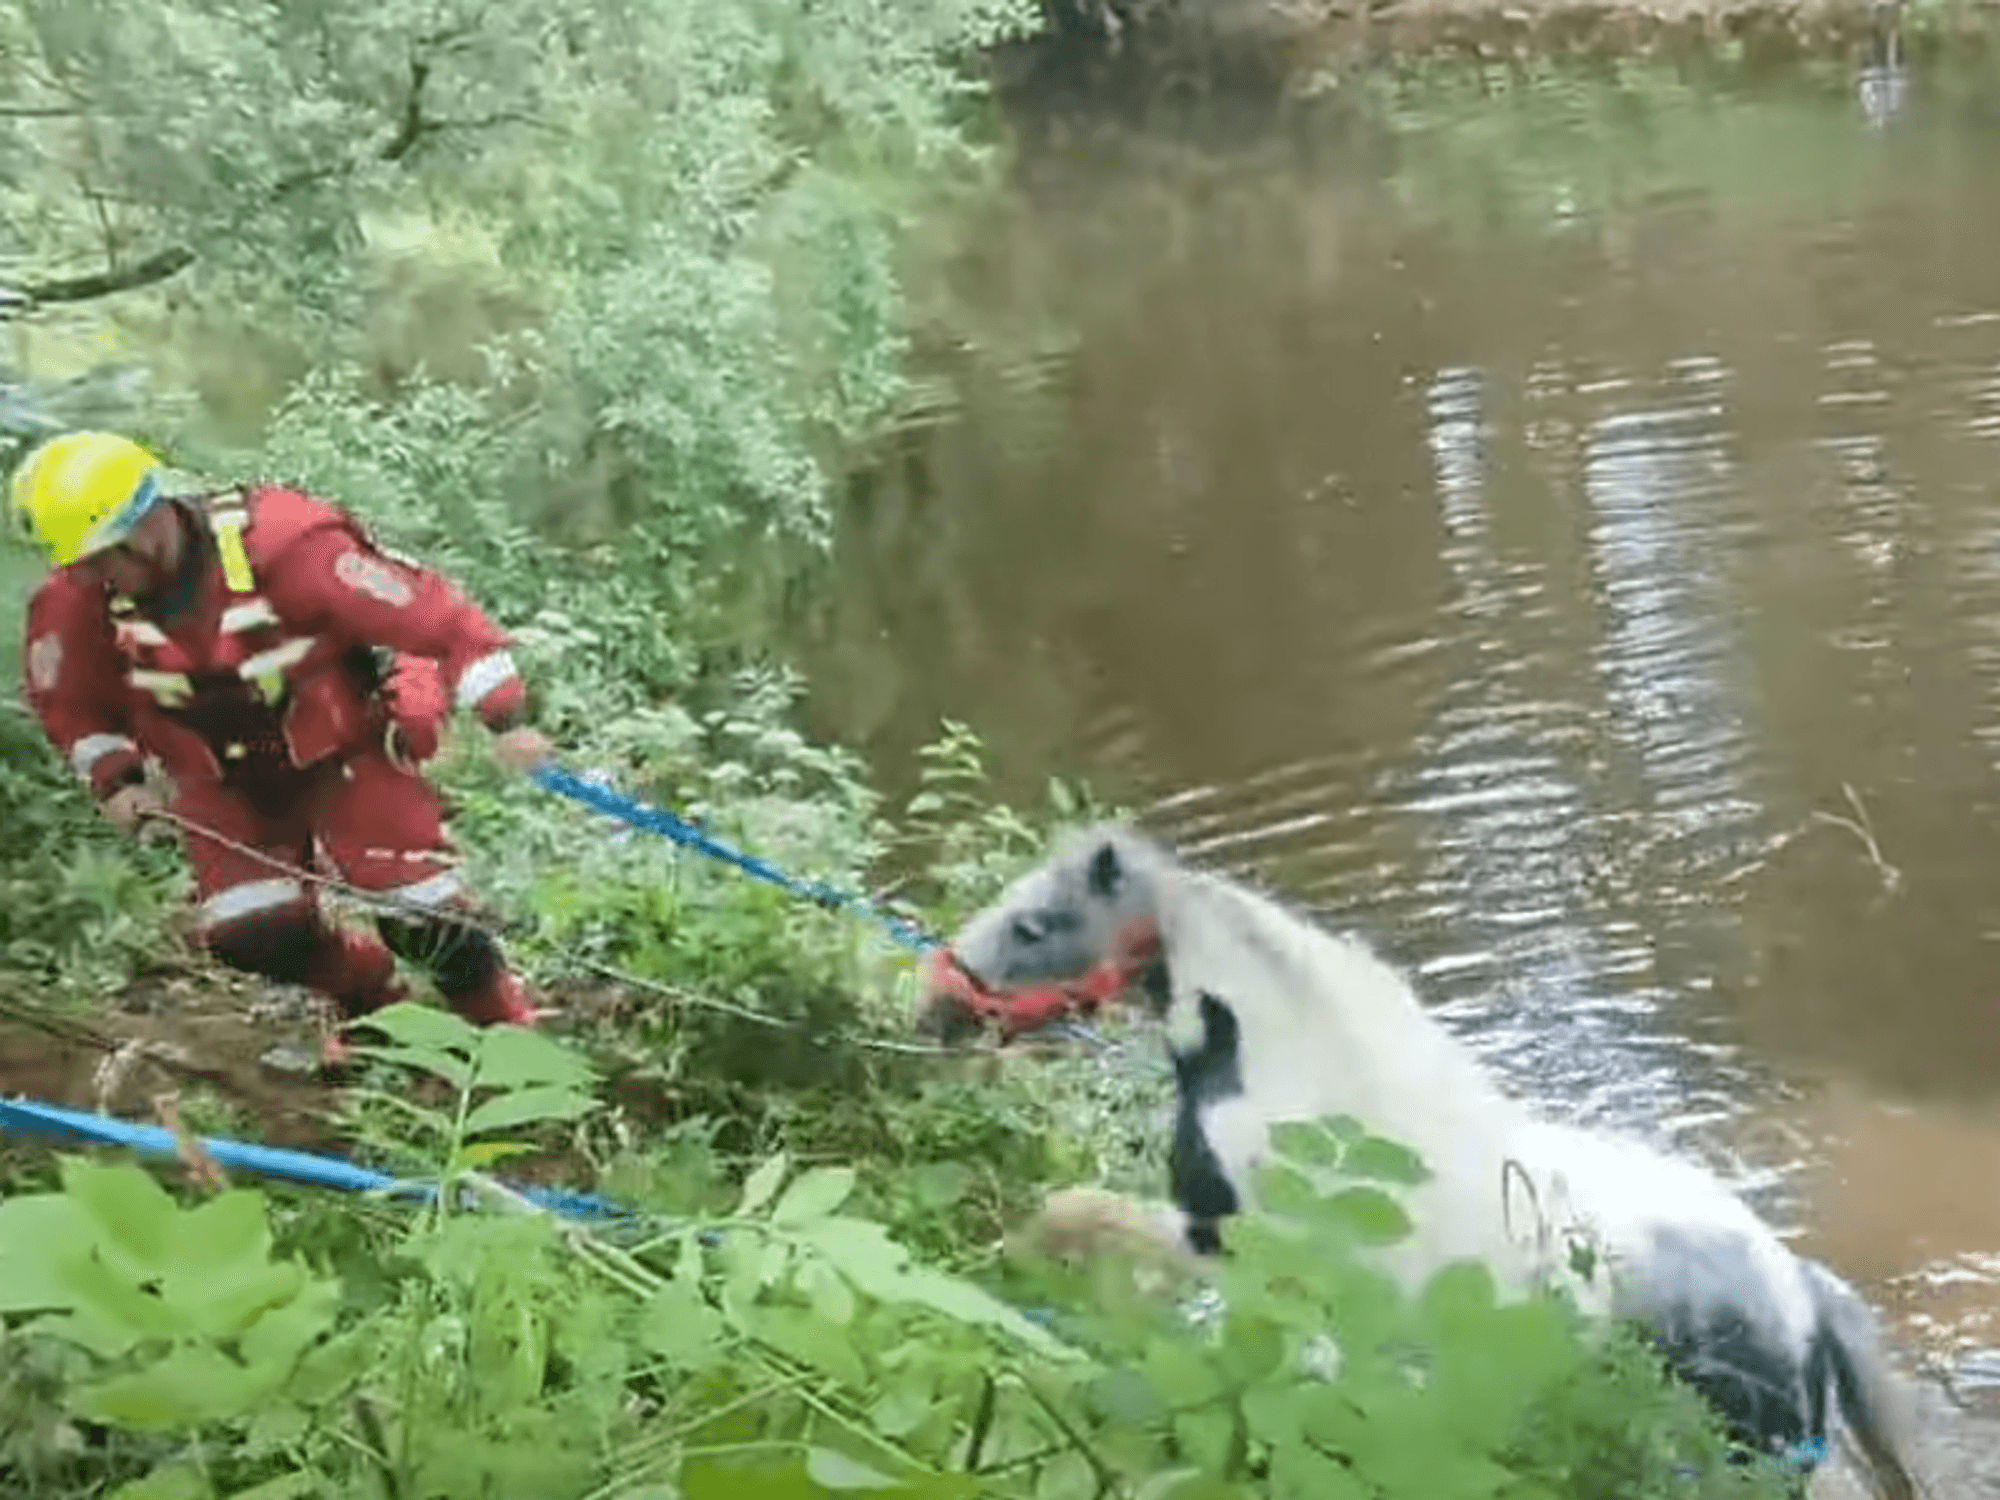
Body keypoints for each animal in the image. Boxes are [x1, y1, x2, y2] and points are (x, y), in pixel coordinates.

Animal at [916, 822, 1920, 1500]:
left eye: (1038, 924)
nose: (937, 1011)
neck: (1298, 1072)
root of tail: (1803, 1293)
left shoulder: (1220, 1239)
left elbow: (1074, 1214)